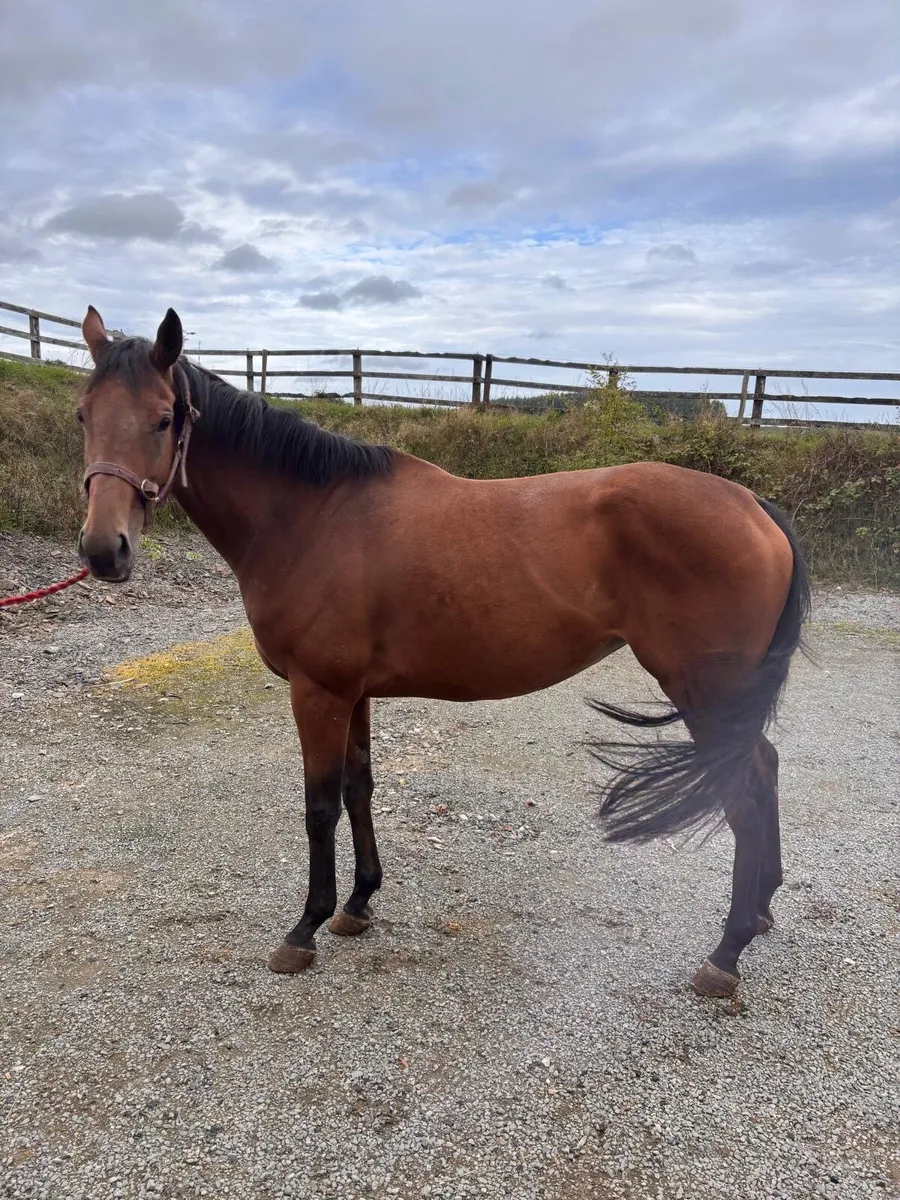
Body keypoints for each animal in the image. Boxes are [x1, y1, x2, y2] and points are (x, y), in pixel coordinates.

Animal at [75, 306, 810, 998]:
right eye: (83, 415)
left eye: (164, 419)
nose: (103, 551)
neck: (311, 516)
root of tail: (755, 506)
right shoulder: (354, 692)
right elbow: (359, 788)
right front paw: (358, 903)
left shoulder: (317, 691)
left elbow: (319, 807)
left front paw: (305, 928)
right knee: (766, 770)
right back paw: (761, 909)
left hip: (705, 690)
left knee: (744, 794)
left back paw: (725, 954)